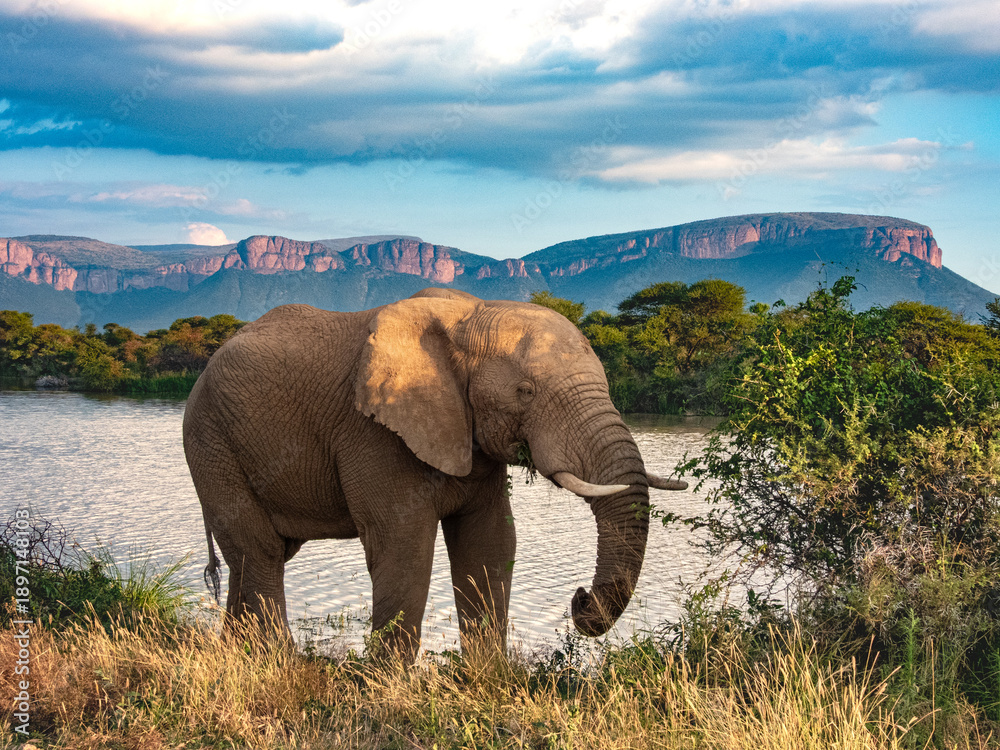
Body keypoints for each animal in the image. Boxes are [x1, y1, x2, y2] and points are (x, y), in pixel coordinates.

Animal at [183, 287, 687, 659]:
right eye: (525, 391)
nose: (580, 599)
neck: (470, 317)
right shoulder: (374, 432)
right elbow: (404, 543)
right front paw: (387, 686)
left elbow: (490, 543)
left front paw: (489, 678)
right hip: (210, 442)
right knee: (260, 551)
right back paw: (276, 663)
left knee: (256, 556)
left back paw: (236, 656)